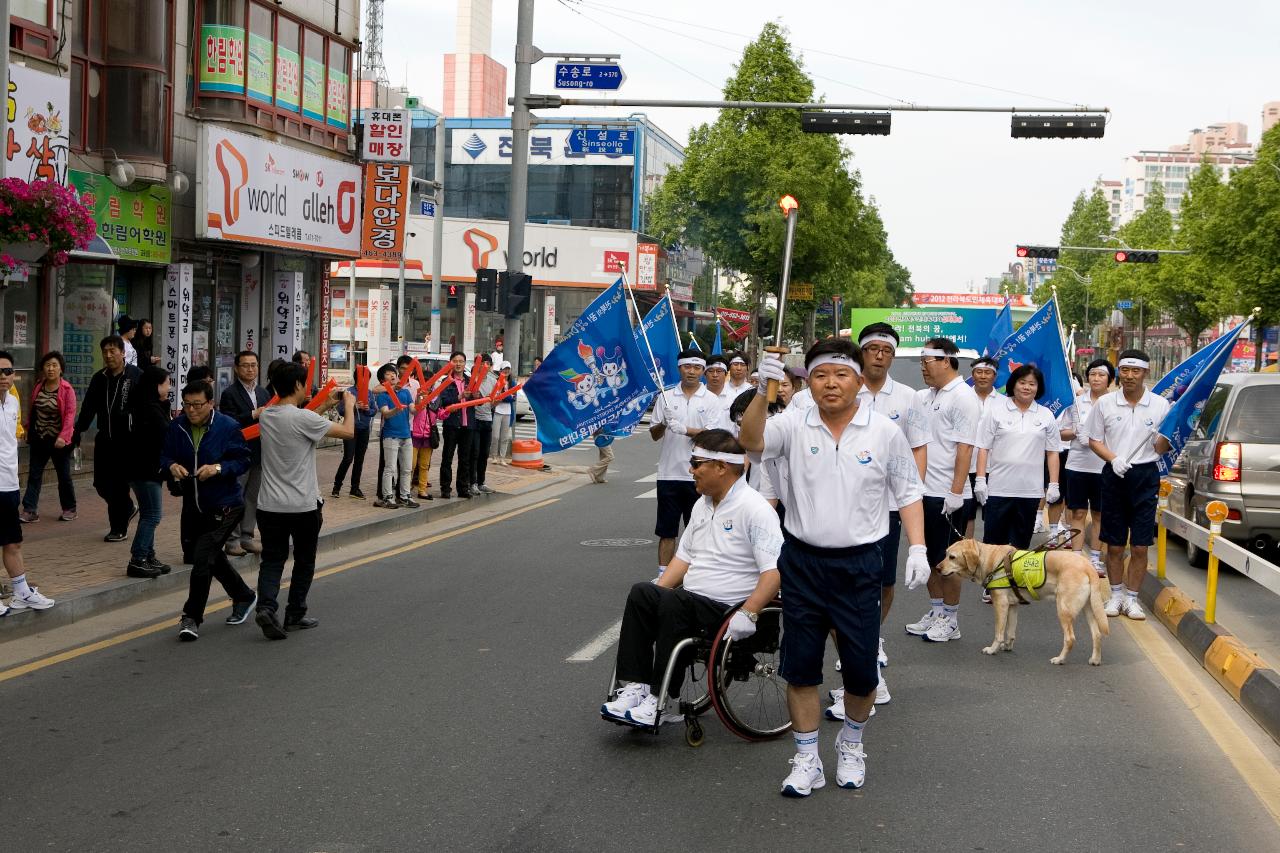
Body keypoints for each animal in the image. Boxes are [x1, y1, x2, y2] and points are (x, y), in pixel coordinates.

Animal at [931, 537, 1111, 666]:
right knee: (1097, 635)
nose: (937, 568)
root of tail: (1088, 566)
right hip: (1088, 609)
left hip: (1063, 609)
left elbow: (998, 633)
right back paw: (1095, 660)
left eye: (952, 557)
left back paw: (1060, 659)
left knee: (1070, 638)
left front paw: (993, 649)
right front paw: (1007, 646)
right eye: (946, 554)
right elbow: (1010, 632)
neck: (988, 559)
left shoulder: (1001, 605)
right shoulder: (1012, 606)